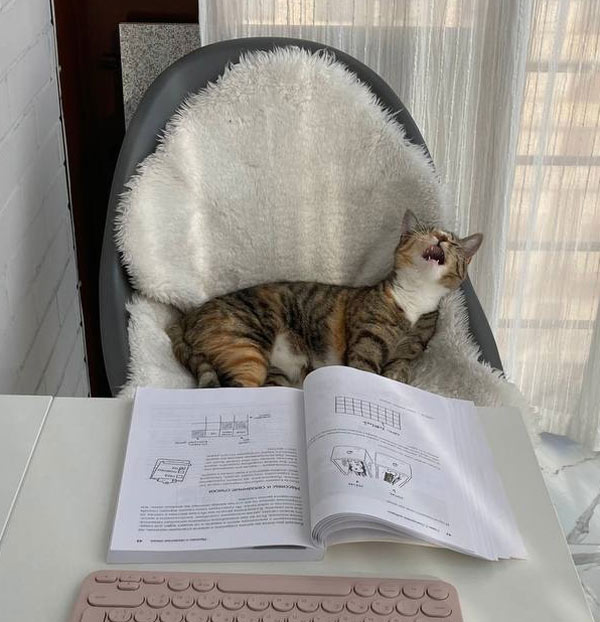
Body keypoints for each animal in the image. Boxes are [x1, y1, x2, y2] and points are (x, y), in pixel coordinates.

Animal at [168, 211, 482, 390]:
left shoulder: (408, 351)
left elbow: (398, 369)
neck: (417, 296)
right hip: (246, 350)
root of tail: (186, 318)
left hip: (274, 371)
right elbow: (366, 371)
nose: (440, 237)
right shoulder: (367, 342)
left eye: (454, 241)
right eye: (424, 231)